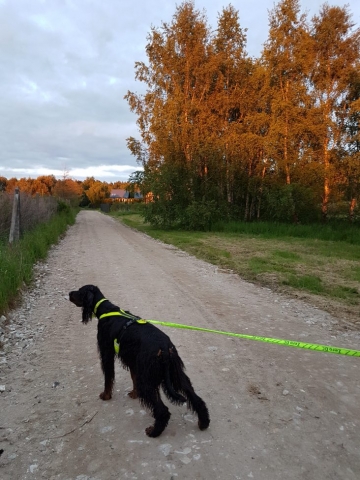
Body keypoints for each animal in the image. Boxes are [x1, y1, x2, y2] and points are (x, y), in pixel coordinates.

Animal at [68, 284, 210, 438]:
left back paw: (154, 431)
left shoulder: (107, 354)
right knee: (196, 399)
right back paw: (203, 423)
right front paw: (134, 394)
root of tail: (164, 348)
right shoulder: (134, 362)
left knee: (162, 411)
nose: (69, 293)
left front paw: (106, 396)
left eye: (80, 292)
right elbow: (133, 378)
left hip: (147, 380)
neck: (106, 310)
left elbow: (108, 378)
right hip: (177, 375)